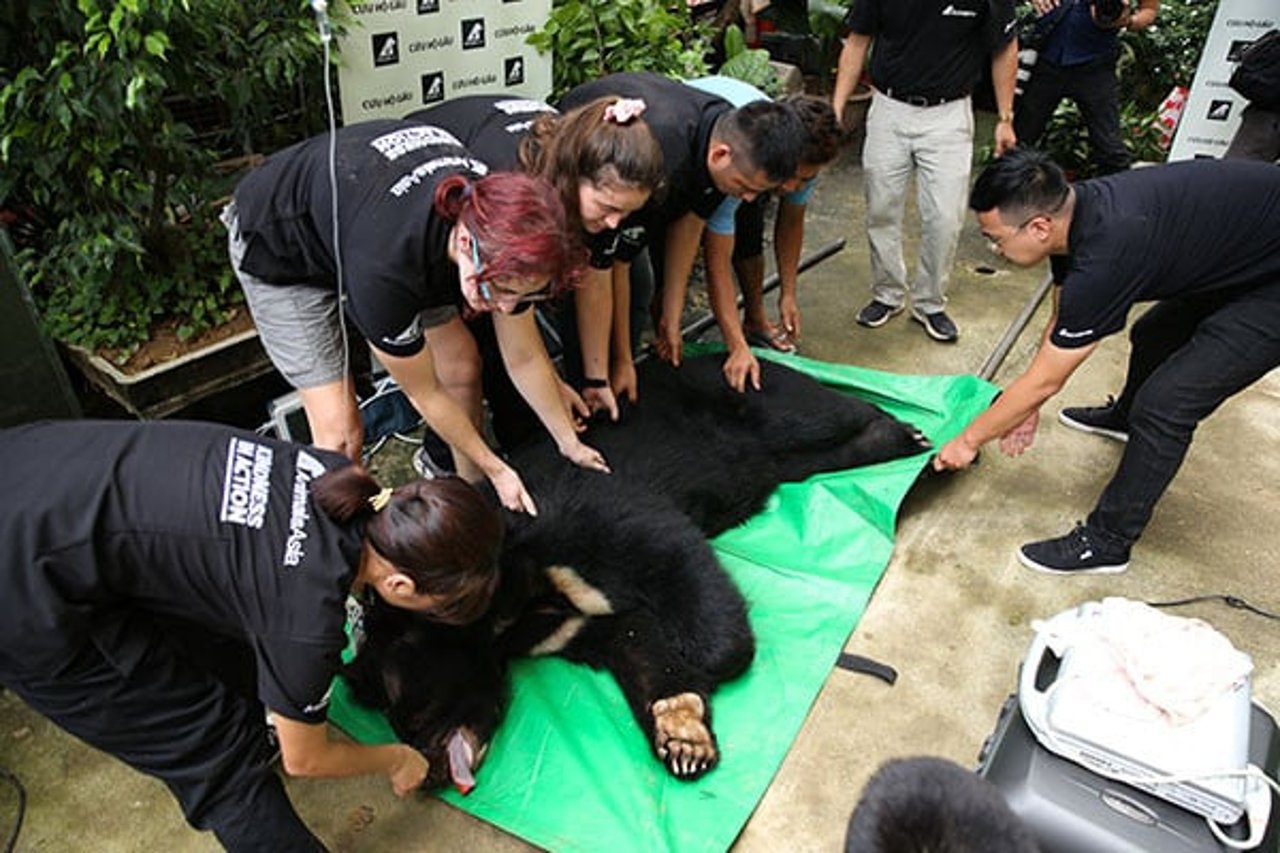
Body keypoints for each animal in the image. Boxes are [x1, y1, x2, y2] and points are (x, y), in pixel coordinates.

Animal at [345, 350, 936, 783]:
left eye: (407, 715)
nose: (428, 776)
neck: (500, 607)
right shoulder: (560, 623)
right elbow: (629, 636)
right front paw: (683, 738)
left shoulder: (574, 512)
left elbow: (668, 551)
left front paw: (715, 661)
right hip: (778, 457)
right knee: (811, 458)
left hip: (756, 396)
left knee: (820, 416)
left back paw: (913, 435)